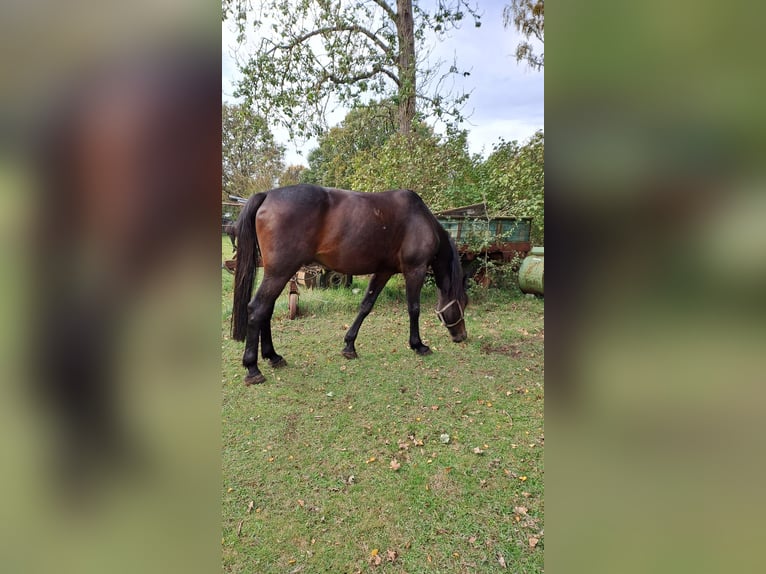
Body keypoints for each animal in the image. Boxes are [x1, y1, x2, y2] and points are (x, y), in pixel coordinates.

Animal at [231, 187, 468, 384]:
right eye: (463, 303)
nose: (462, 336)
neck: (420, 220)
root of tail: (267, 195)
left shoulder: (383, 271)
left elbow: (366, 305)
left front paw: (349, 346)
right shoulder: (415, 270)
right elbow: (414, 309)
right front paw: (418, 344)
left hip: (278, 273)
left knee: (266, 310)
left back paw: (273, 356)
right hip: (280, 272)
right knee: (257, 309)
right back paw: (253, 369)